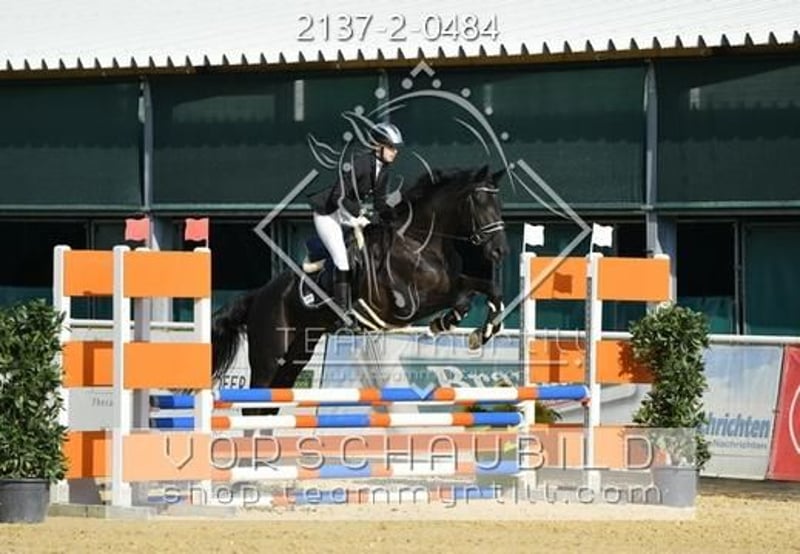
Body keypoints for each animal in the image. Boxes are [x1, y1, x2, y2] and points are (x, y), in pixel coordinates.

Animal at [210, 164, 509, 415]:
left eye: (499, 203)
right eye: (479, 201)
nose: (500, 251)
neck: (418, 241)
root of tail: (258, 295)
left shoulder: (452, 280)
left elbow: (487, 288)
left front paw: (482, 332)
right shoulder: (408, 306)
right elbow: (462, 298)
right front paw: (447, 323)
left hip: (295, 358)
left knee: (268, 406)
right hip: (270, 356)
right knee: (254, 405)